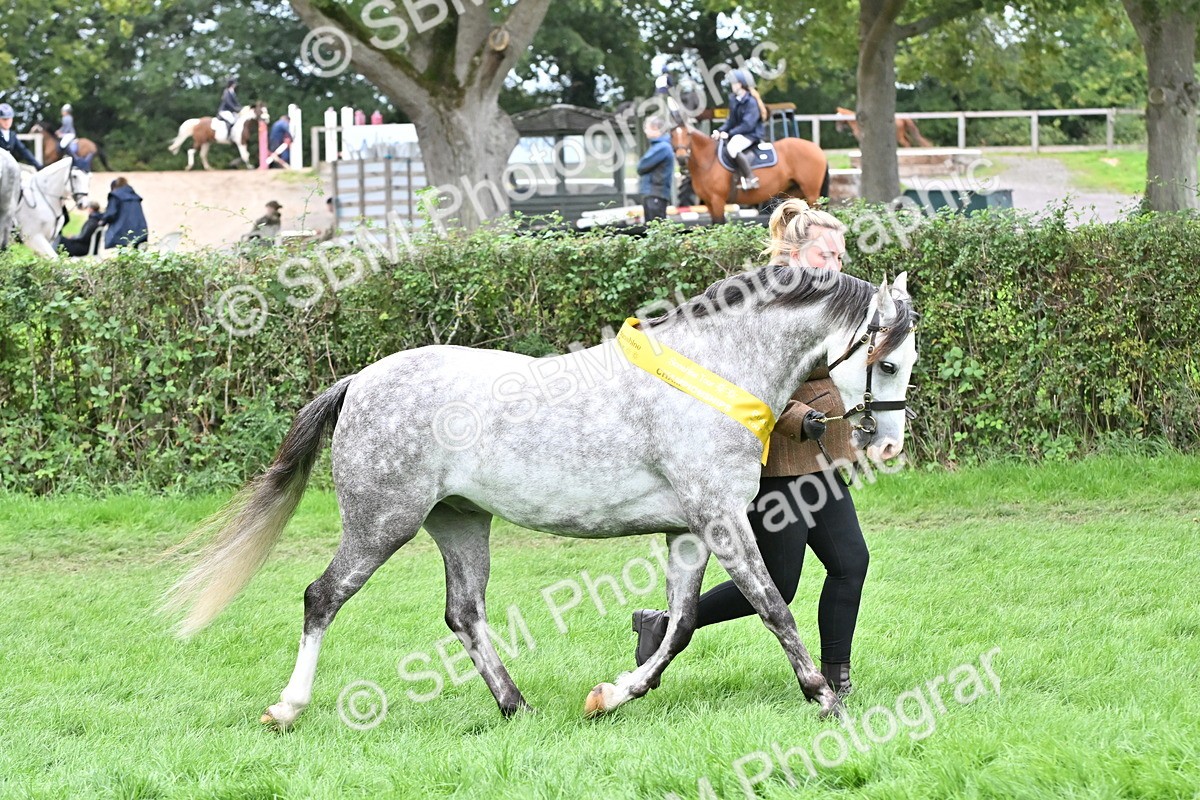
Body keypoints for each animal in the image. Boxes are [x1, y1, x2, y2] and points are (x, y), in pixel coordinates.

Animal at [161, 267, 918, 730]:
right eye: (886, 360)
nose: (885, 446)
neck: (713, 373)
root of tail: (360, 381)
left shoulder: (689, 531)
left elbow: (678, 626)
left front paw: (611, 695)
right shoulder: (721, 520)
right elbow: (773, 608)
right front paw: (825, 699)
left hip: (460, 524)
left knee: (464, 614)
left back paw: (515, 706)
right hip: (382, 524)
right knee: (322, 598)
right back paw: (288, 708)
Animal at [670, 125, 829, 224]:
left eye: (688, 134)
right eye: (671, 135)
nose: (681, 158)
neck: (709, 160)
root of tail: (815, 147)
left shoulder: (717, 200)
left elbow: (720, 224)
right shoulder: (709, 203)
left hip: (811, 193)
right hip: (795, 194)